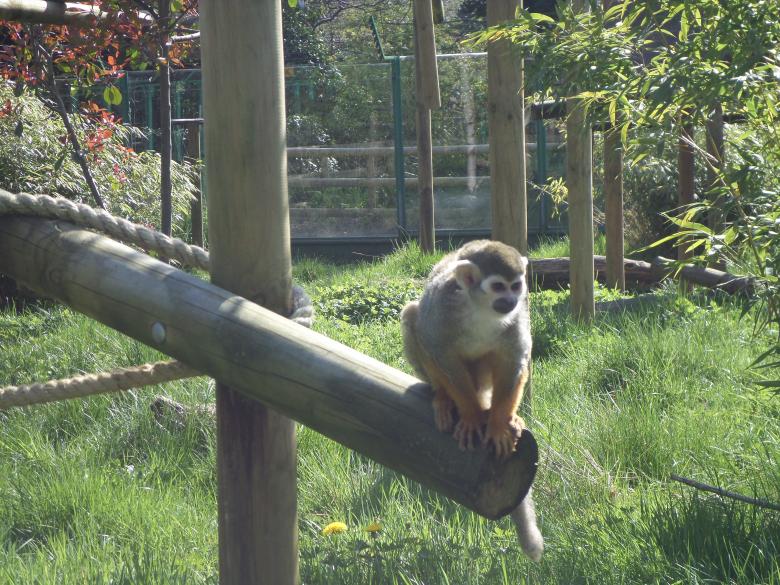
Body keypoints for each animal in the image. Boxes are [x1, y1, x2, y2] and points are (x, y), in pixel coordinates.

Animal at [401, 239, 543, 562]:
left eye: (516, 286)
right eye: (498, 286)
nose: (510, 300)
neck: (481, 309)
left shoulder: (519, 313)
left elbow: (516, 358)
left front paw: (500, 423)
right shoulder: (443, 305)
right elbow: (438, 348)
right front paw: (470, 415)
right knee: (413, 315)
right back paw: (444, 397)